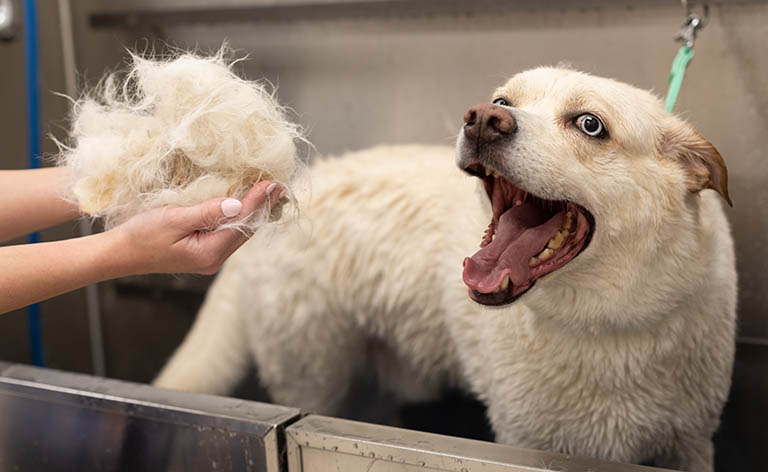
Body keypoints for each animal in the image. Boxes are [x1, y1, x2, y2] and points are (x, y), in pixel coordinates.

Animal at [153, 68, 736, 470]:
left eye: (590, 125)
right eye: (503, 101)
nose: (483, 118)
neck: (607, 326)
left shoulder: (691, 442)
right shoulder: (526, 440)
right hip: (312, 374)